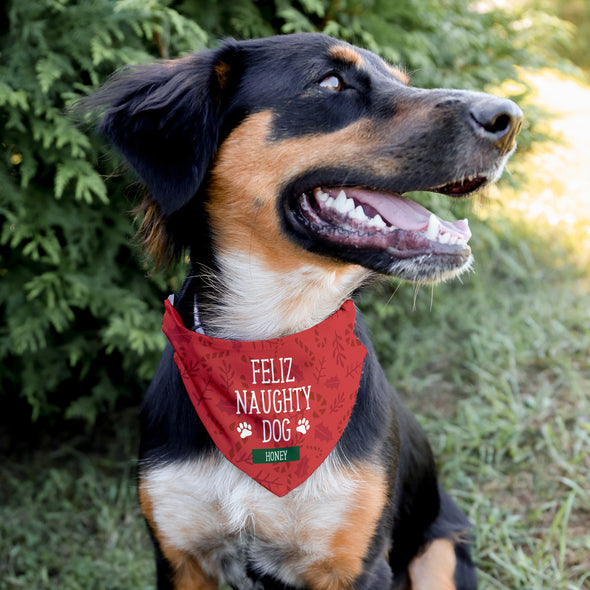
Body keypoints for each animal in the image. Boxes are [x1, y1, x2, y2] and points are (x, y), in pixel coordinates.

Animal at [88, 33, 524, 590]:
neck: (271, 356)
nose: (510, 118)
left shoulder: (357, 564)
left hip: (440, 551)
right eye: (331, 82)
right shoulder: (180, 557)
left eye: (403, 82)